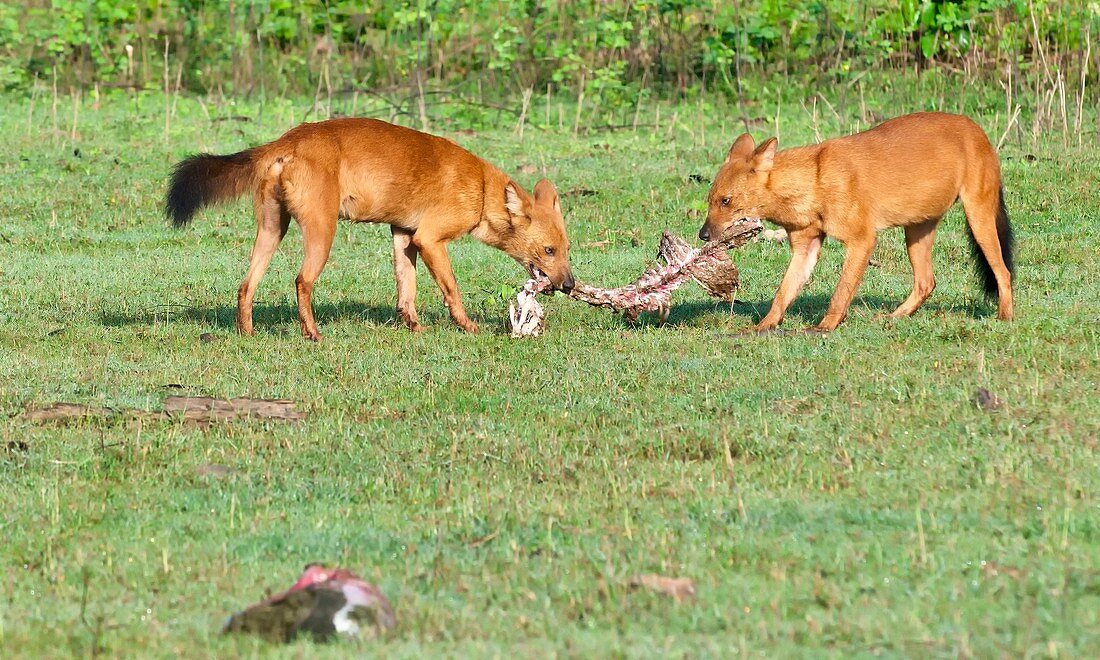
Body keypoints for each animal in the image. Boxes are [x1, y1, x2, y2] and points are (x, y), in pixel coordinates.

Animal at [167, 116, 576, 341]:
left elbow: (406, 291)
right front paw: (468, 327)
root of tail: (287, 140)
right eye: (548, 250)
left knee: (246, 285)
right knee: (301, 280)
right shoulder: (430, 238)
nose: (570, 285)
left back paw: (247, 333)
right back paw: (312, 334)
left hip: (272, 229)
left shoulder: (403, 234)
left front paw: (415, 328)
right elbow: (451, 289)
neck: (481, 189)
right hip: (322, 231)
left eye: (566, 250)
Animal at [699, 112, 1016, 334]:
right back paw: (893, 317)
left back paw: (1005, 317)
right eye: (709, 200)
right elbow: (782, 293)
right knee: (926, 281)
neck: (814, 181)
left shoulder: (862, 240)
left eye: (726, 201)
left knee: (1003, 272)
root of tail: (977, 129)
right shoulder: (805, 248)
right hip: (916, 230)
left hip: (978, 217)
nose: (702, 235)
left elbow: (841, 292)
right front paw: (763, 326)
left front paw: (825, 327)